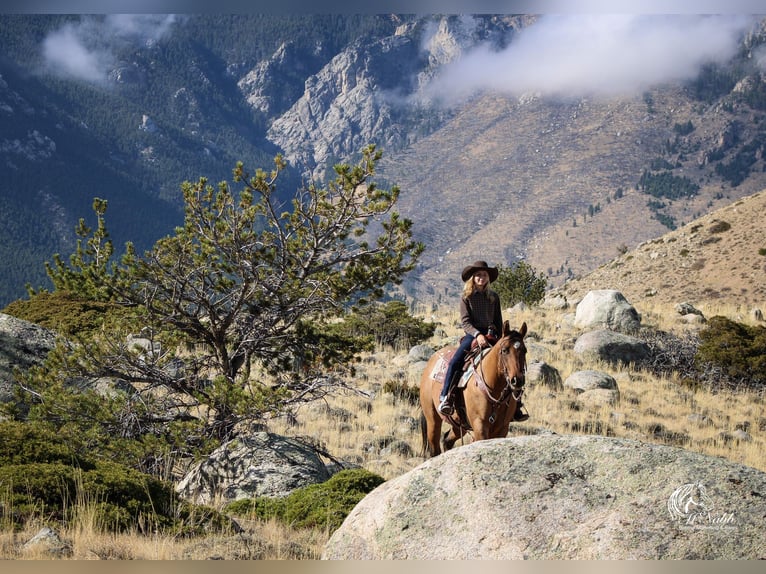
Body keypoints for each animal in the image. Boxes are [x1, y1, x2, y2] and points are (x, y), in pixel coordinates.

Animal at [420, 320, 528, 460]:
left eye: (524, 350)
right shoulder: (479, 426)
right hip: (432, 419)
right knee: (434, 448)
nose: (517, 380)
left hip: (459, 424)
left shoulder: (502, 429)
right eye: (504, 350)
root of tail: (431, 361)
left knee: (447, 440)